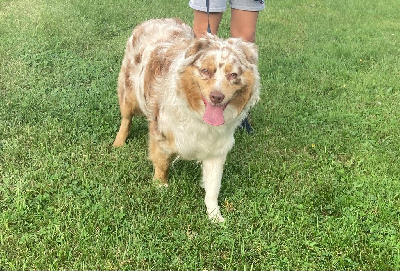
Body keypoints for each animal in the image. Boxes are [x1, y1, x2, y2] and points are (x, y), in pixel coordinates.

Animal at [114, 17, 260, 223]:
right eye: (205, 71)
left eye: (233, 75)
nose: (217, 96)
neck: (197, 114)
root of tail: (157, 19)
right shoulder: (161, 132)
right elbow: (161, 162)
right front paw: (160, 185)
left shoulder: (217, 148)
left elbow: (213, 186)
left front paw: (215, 216)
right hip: (129, 92)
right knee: (126, 118)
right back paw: (118, 142)